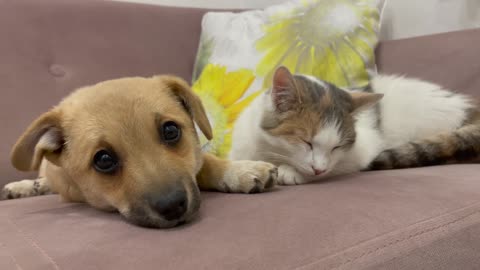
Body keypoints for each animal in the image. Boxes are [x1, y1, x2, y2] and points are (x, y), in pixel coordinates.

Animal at [2, 75, 278, 228]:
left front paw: (239, 170)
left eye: (170, 131)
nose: (172, 207)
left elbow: (207, 162)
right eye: (103, 159)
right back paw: (22, 187)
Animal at [230, 67, 480, 186]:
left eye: (337, 147)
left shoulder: (362, 151)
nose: (319, 169)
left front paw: (290, 171)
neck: (268, 150)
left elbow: (340, 165)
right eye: (306, 142)